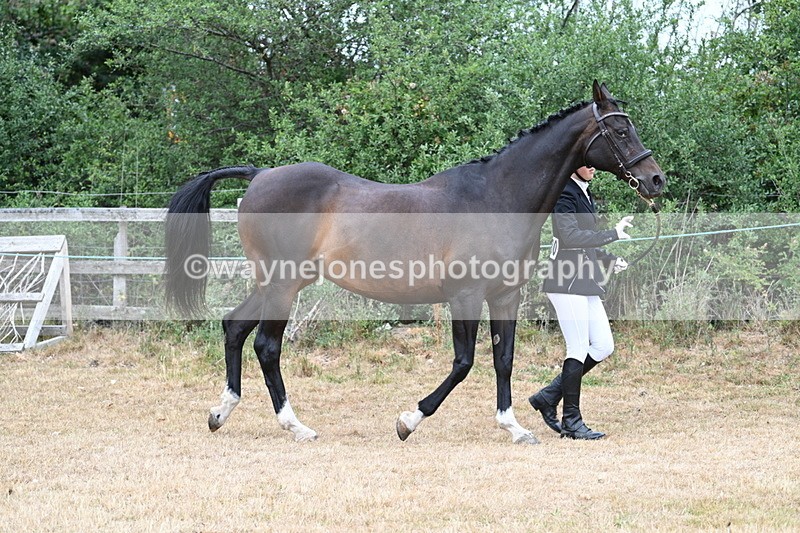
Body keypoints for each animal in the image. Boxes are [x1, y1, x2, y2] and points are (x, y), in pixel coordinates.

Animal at [164, 81, 664, 444]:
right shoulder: (465, 295)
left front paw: (514, 427)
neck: (496, 197)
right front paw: (409, 420)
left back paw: (220, 413)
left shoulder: (505, 295)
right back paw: (296, 426)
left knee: (234, 327)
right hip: (283, 284)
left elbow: (503, 359)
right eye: (621, 131)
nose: (655, 180)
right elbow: (463, 363)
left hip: (276, 283)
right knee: (267, 347)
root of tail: (260, 174)